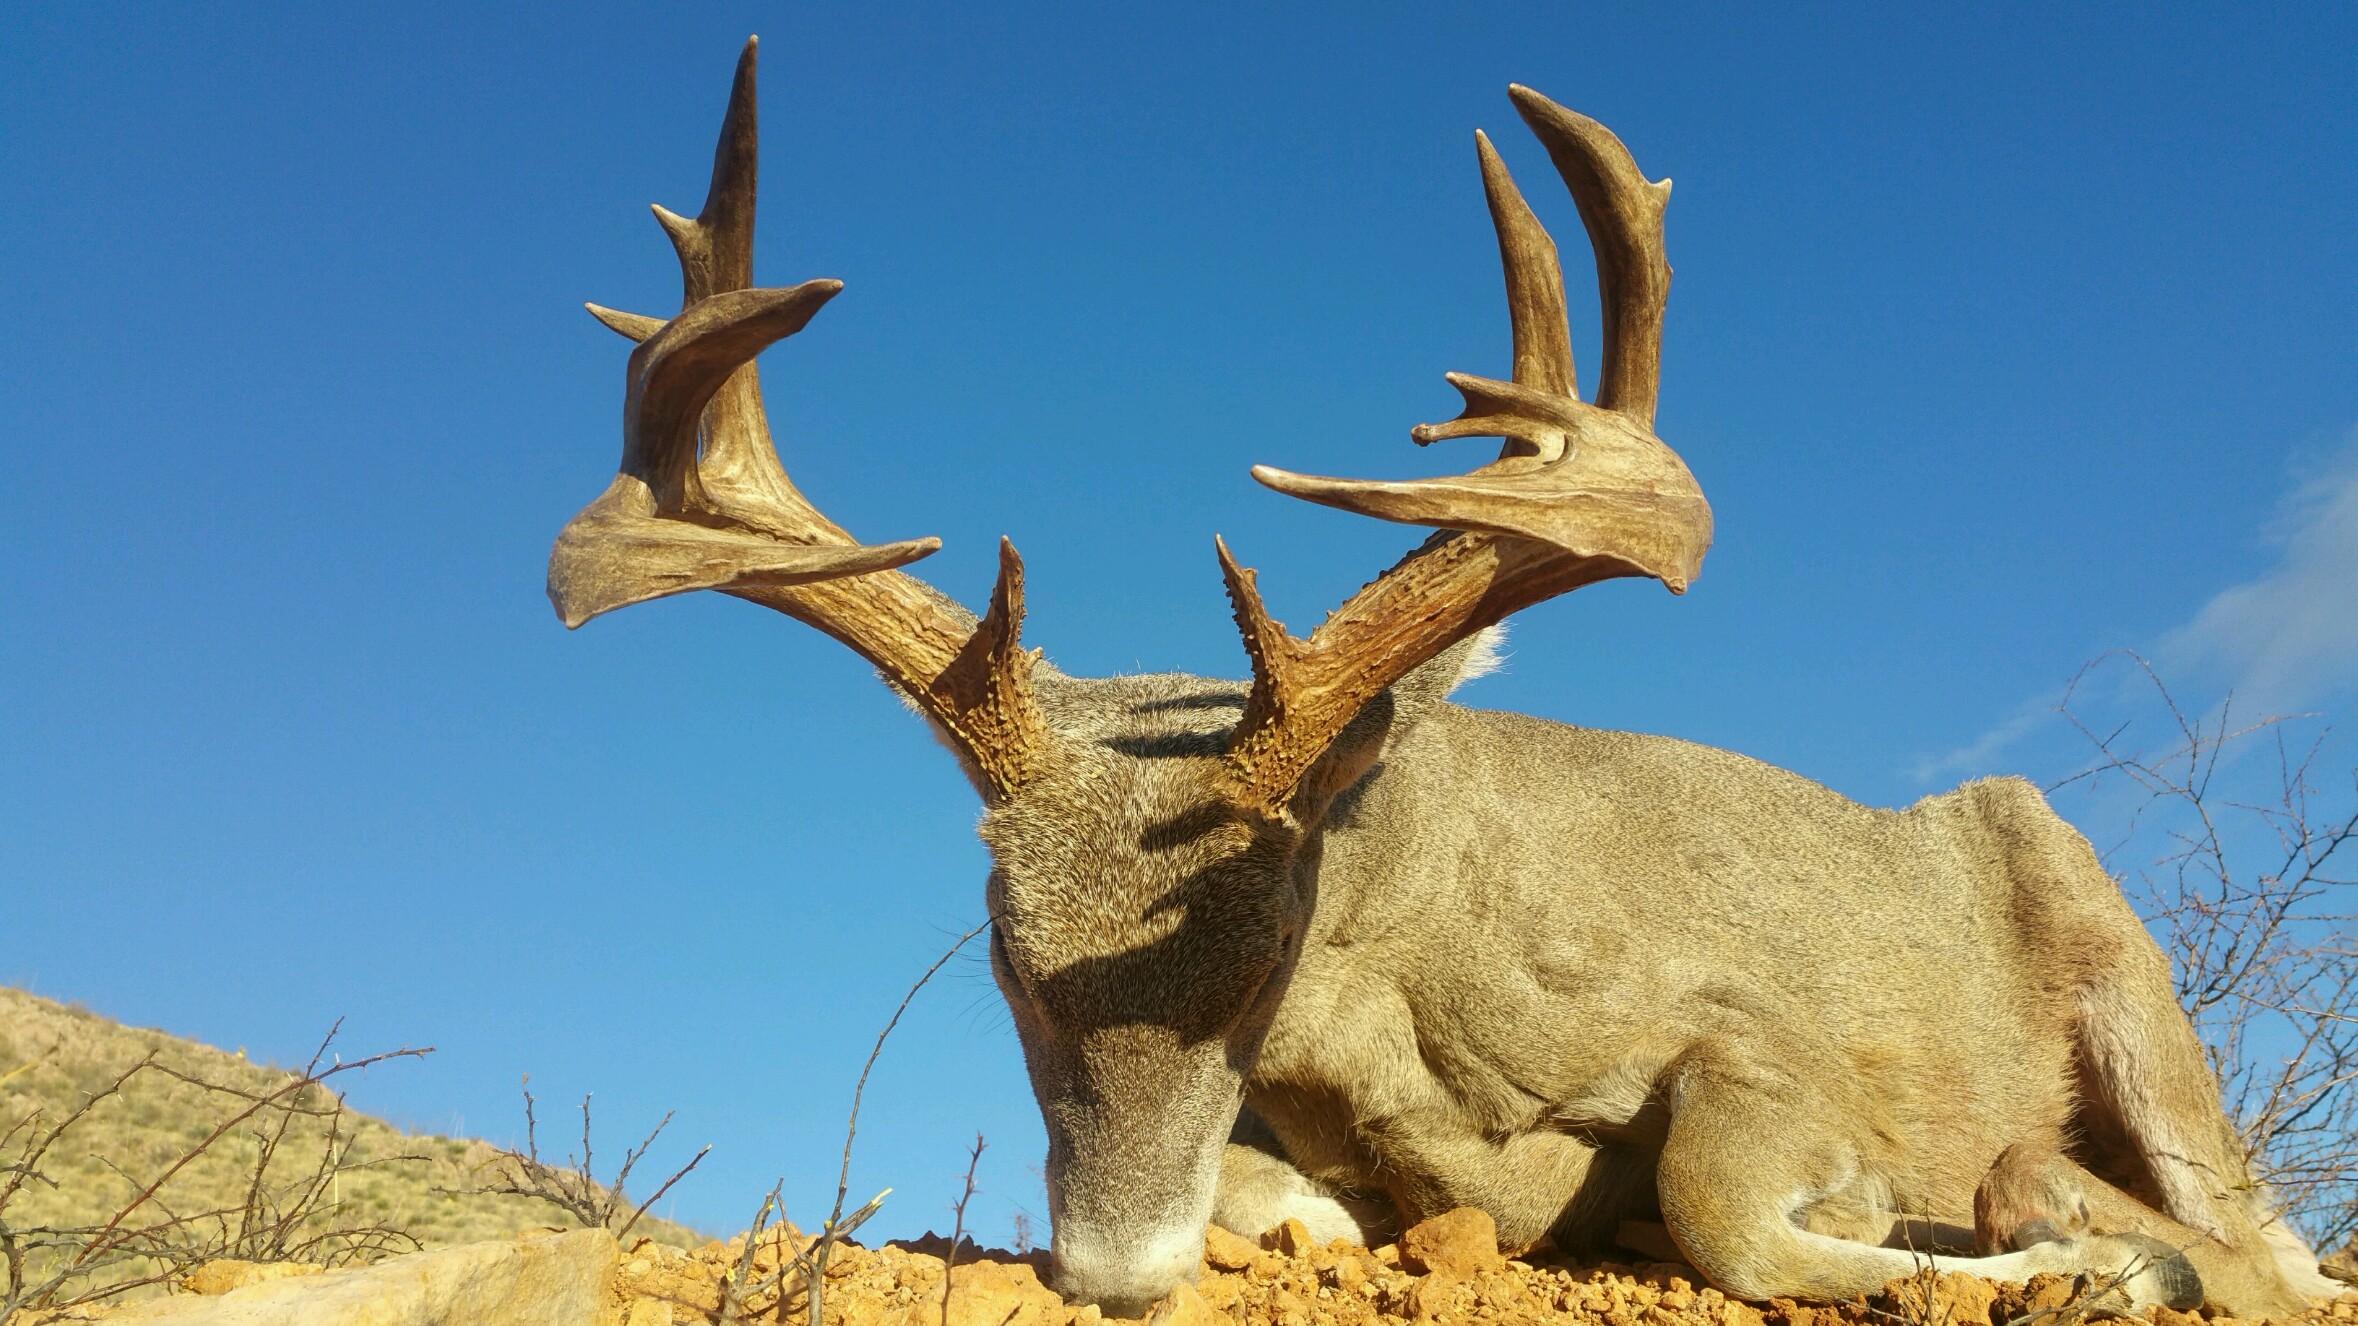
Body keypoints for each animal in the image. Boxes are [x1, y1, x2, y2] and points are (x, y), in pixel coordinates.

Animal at [547, 39, 2341, 1320]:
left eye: (1269, 939)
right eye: (997, 949)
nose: (1115, 1270)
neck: (1397, 1001)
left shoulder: (1758, 1028)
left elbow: (1729, 1206)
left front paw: (2068, 1258)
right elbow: (1290, 1192)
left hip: (2109, 941)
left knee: (2267, 1241)